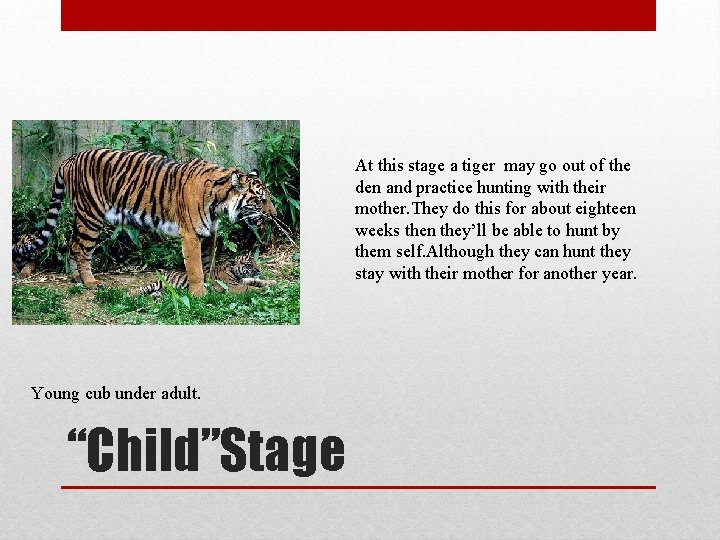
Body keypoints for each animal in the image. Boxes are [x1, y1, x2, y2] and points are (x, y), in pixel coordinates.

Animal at [133, 253, 276, 298]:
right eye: (249, 265)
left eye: (255, 261)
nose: (258, 270)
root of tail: (168, 271)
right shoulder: (233, 287)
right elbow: (251, 288)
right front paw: (265, 290)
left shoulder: (242, 281)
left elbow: (254, 280)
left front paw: (271, 282)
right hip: (158, 283)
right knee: (142, 288)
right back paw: (132, 295)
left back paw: (157, 296)